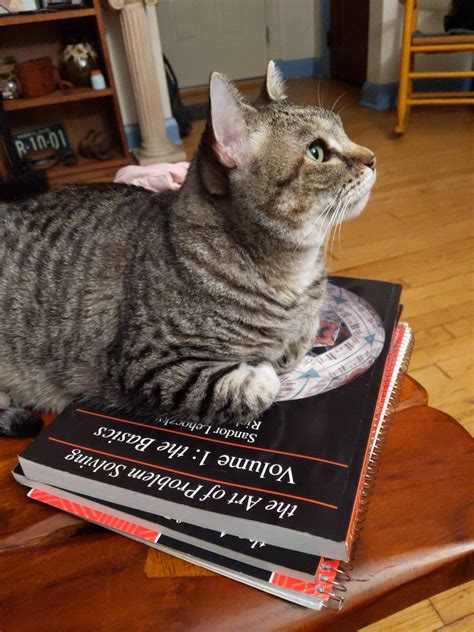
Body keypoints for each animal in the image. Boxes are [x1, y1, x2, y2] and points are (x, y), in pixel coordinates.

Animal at [0, 63, 378, 440]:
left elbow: (299, 340)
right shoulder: (146, 364)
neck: (291, 271)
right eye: (317, 152)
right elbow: (257, 384)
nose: (373, 158)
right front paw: (262, 367)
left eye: (343, 130)